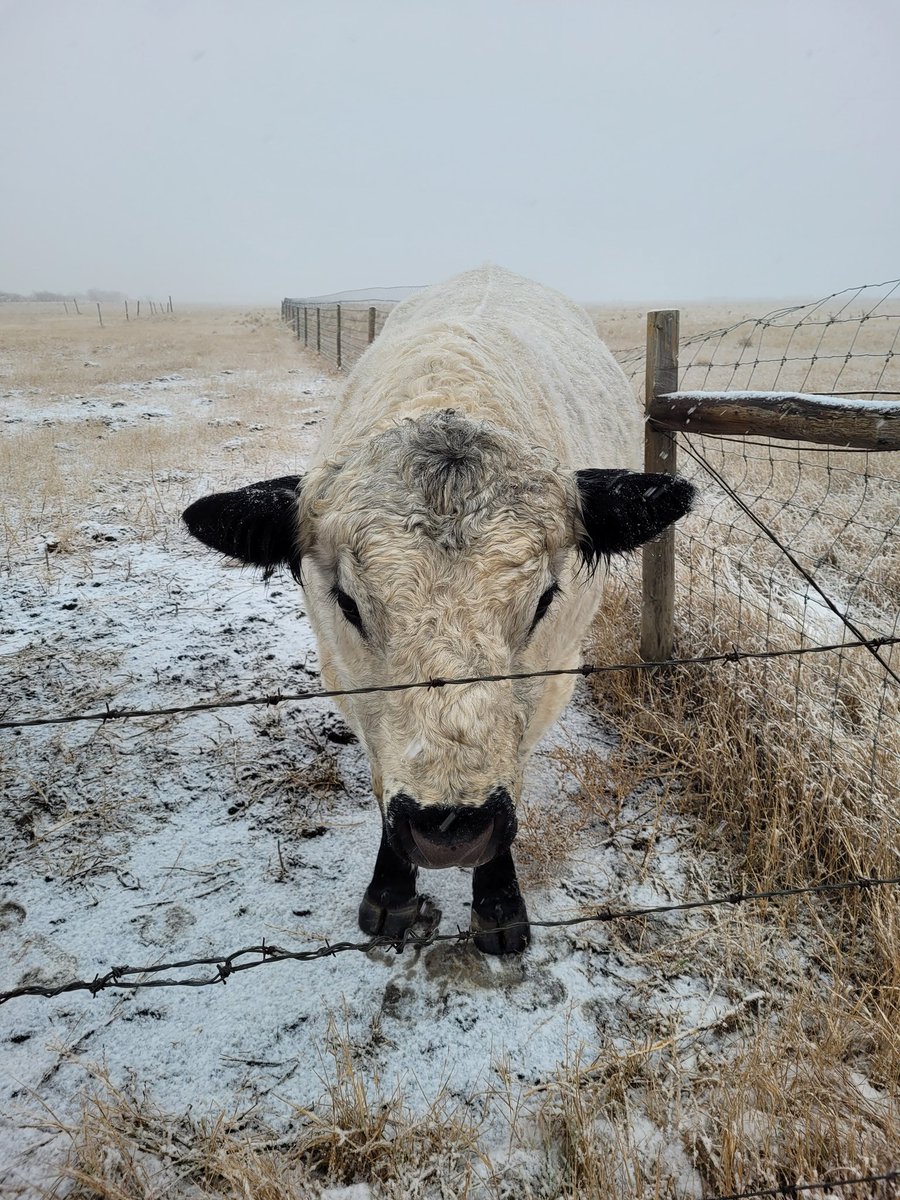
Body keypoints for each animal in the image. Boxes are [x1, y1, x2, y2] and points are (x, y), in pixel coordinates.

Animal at [182, 267, 694, 954]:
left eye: (544, 599)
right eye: (347, 602)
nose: (451, 831)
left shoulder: (550, 677)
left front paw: (498, 902)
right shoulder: (348, 679)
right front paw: (391, 894)